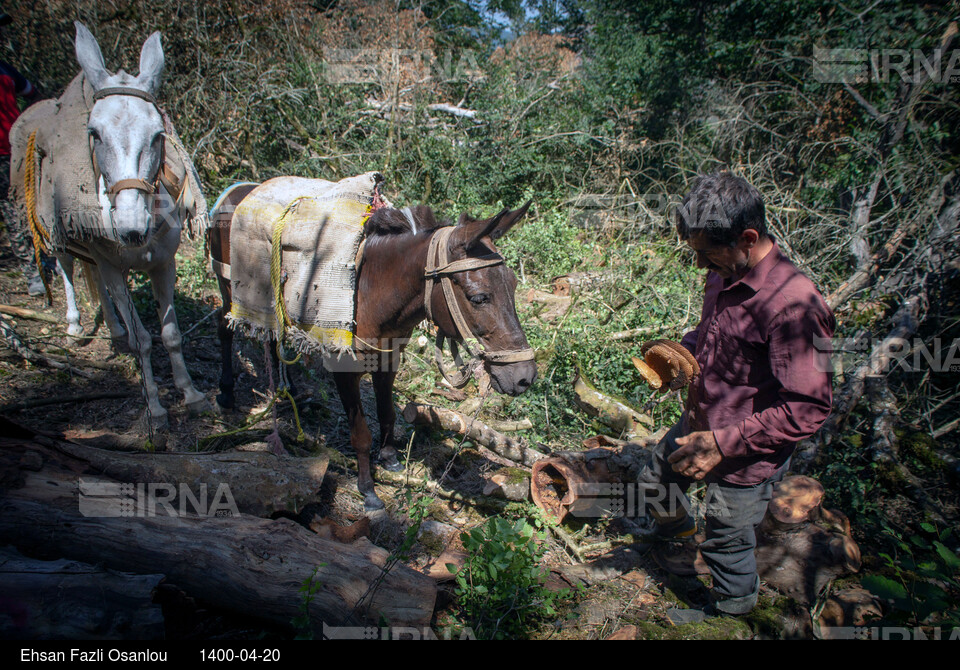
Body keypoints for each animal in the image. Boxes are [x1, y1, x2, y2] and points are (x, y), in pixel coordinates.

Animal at [209, 194, 536, 510]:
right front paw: (367, 489)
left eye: (513, 285)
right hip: (229, 290)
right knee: (224, 328)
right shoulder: (343, 370)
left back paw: (287, 390)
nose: (525, 377)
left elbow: (387, 413)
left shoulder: (388, 360)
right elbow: (361, 434)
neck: (368, 291)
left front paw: (390, 458)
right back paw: (225, 393)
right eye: (478, 298)